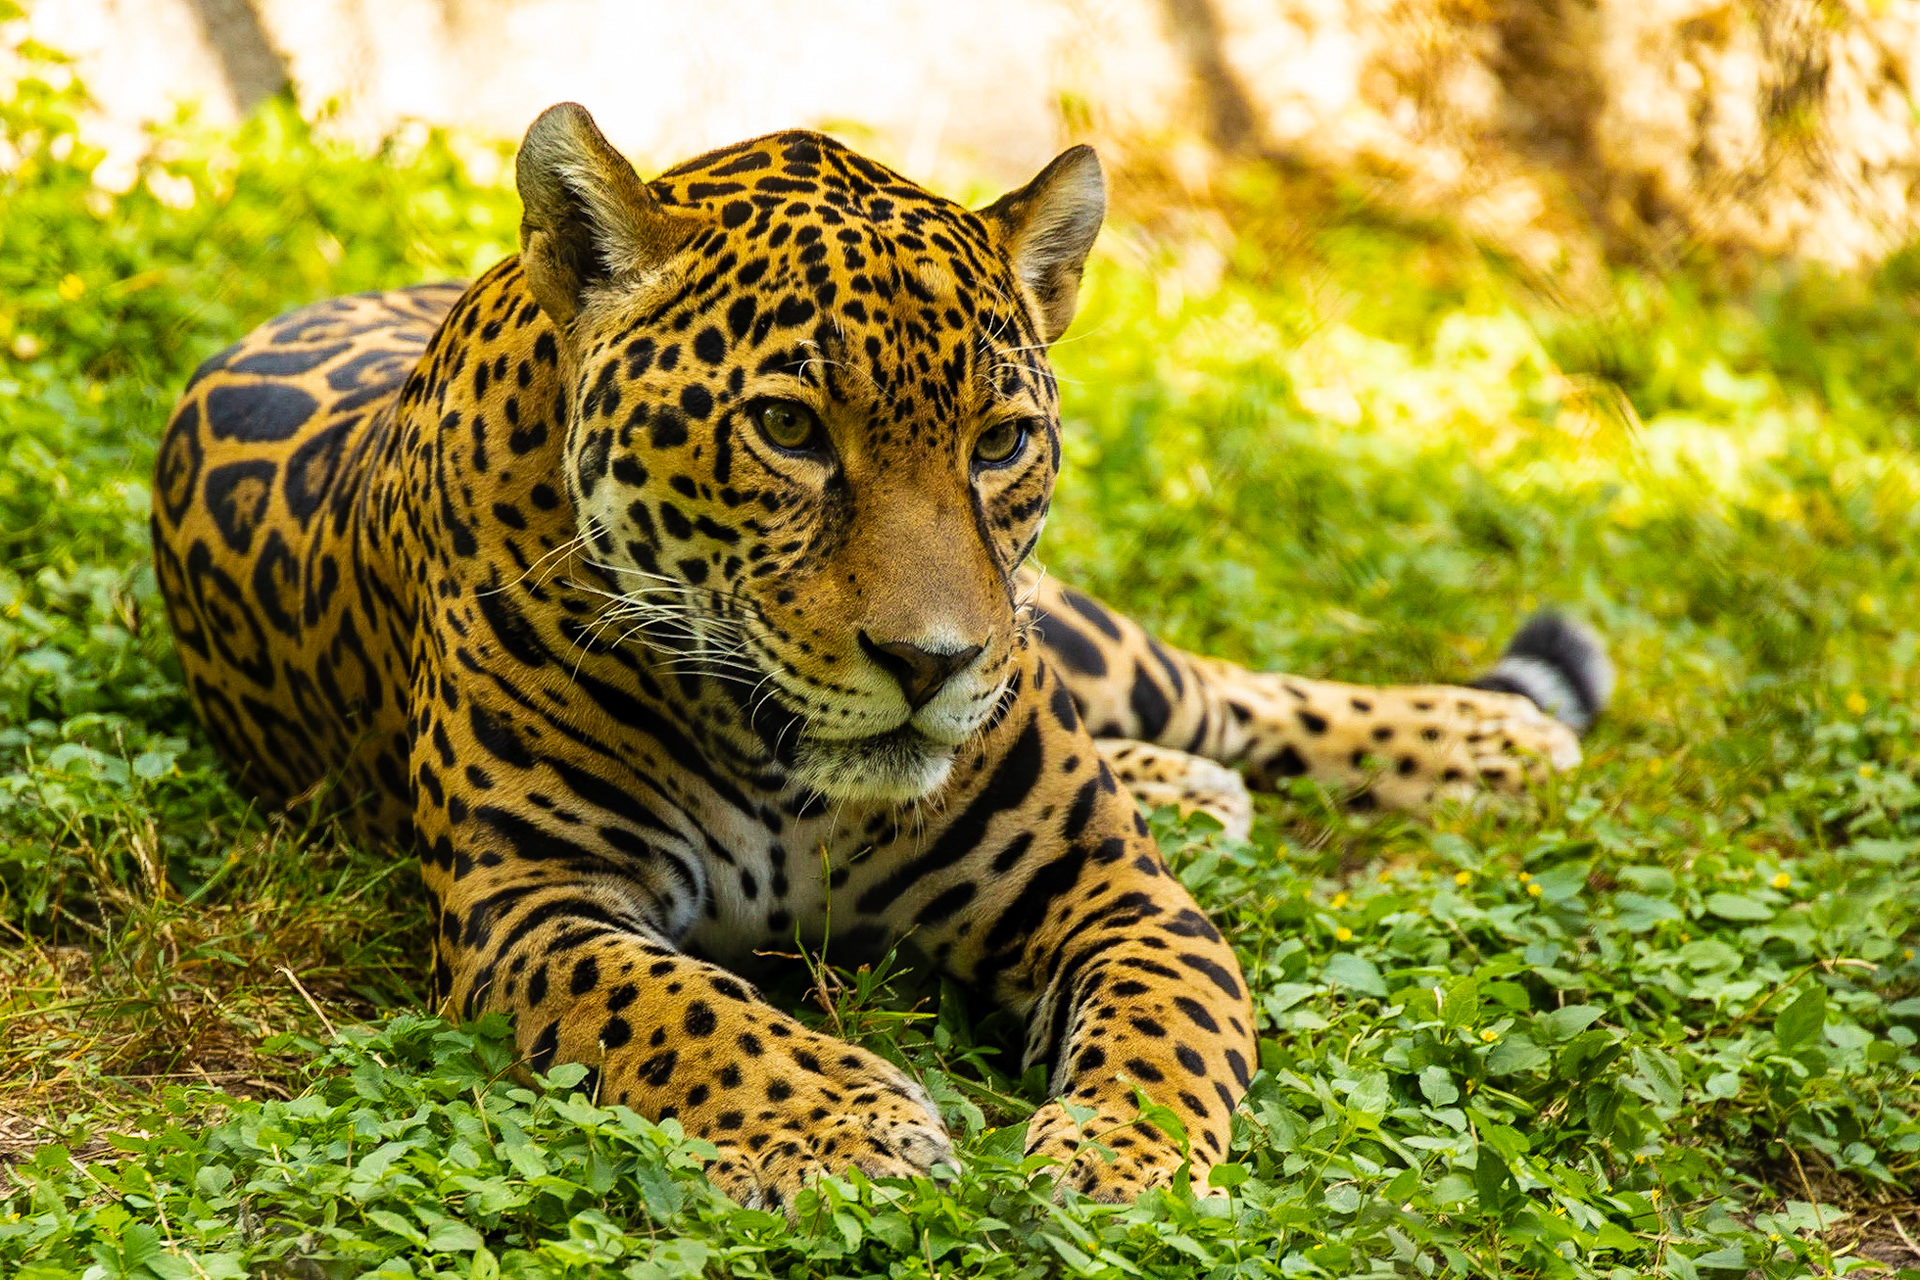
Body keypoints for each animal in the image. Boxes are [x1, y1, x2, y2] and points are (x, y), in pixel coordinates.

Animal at [150, 102, 1612, 1211]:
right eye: (791, 429)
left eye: (1000, 441)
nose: (934, 662)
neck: (779, 761)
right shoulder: (533, 906)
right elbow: (686, 1009)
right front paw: (854, 1126)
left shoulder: (1115, 892)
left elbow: (1160, 1031)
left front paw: (1117, 1163)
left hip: (1078, 636)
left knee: (1227, 689)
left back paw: (1489, 741)